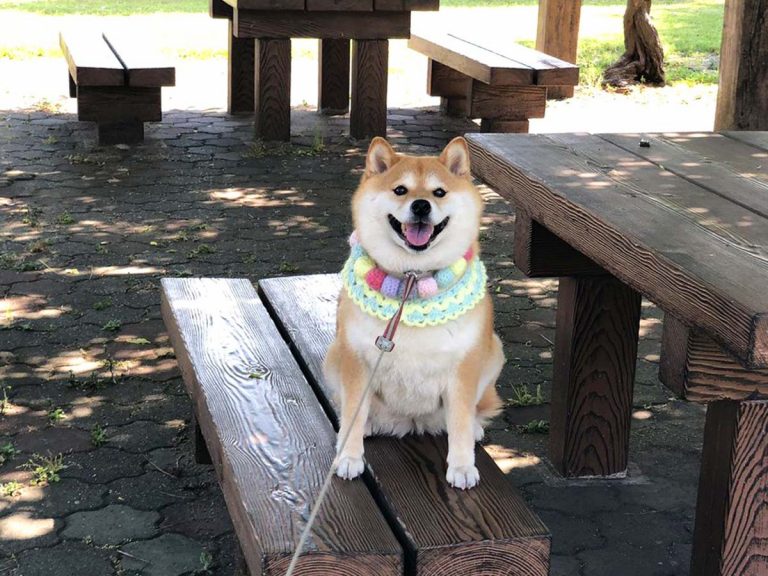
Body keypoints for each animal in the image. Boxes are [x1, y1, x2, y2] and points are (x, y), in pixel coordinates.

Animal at [322, 136, 504, 490]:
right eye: (400, 190)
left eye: (439, 192)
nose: (421, 206)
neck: (411, 282)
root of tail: (412, 420)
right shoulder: (357, 359)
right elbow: (353, 410)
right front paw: (349, 456)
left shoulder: (463, 366)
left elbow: (460, 421)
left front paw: (462, 465)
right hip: (334, 357)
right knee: (353, 408)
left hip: (493, 354)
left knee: (471, 411)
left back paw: (475, 427)